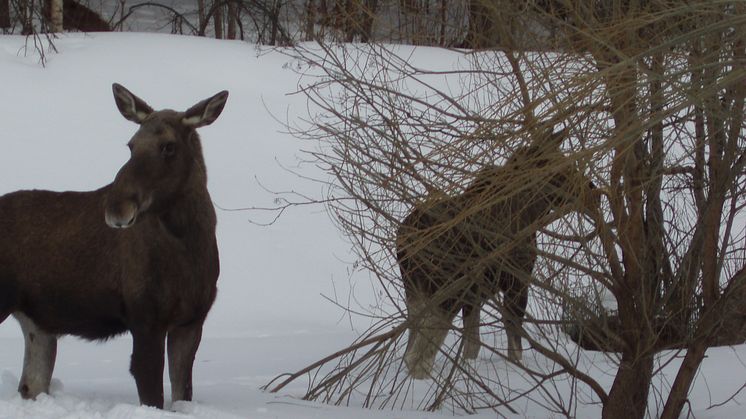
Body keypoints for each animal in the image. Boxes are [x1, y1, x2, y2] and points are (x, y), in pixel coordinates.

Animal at [0, 83, 228, 408]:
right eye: (131, 145)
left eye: (168, 146)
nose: (117, 208)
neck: (189, 244)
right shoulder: (145, 318)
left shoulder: (191, 320)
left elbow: (181, 394)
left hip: (37, 326)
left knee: (31, 384)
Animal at [396, 126, 592, 378]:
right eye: (564, 167)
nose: (591, 189)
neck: (530, 212)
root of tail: (403, 240)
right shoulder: (517, 282)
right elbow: (514, 344)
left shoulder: (474, 297)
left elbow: (472, 345)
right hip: (447, 292)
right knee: (418, 354)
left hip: (416, 293)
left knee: (411, 346)